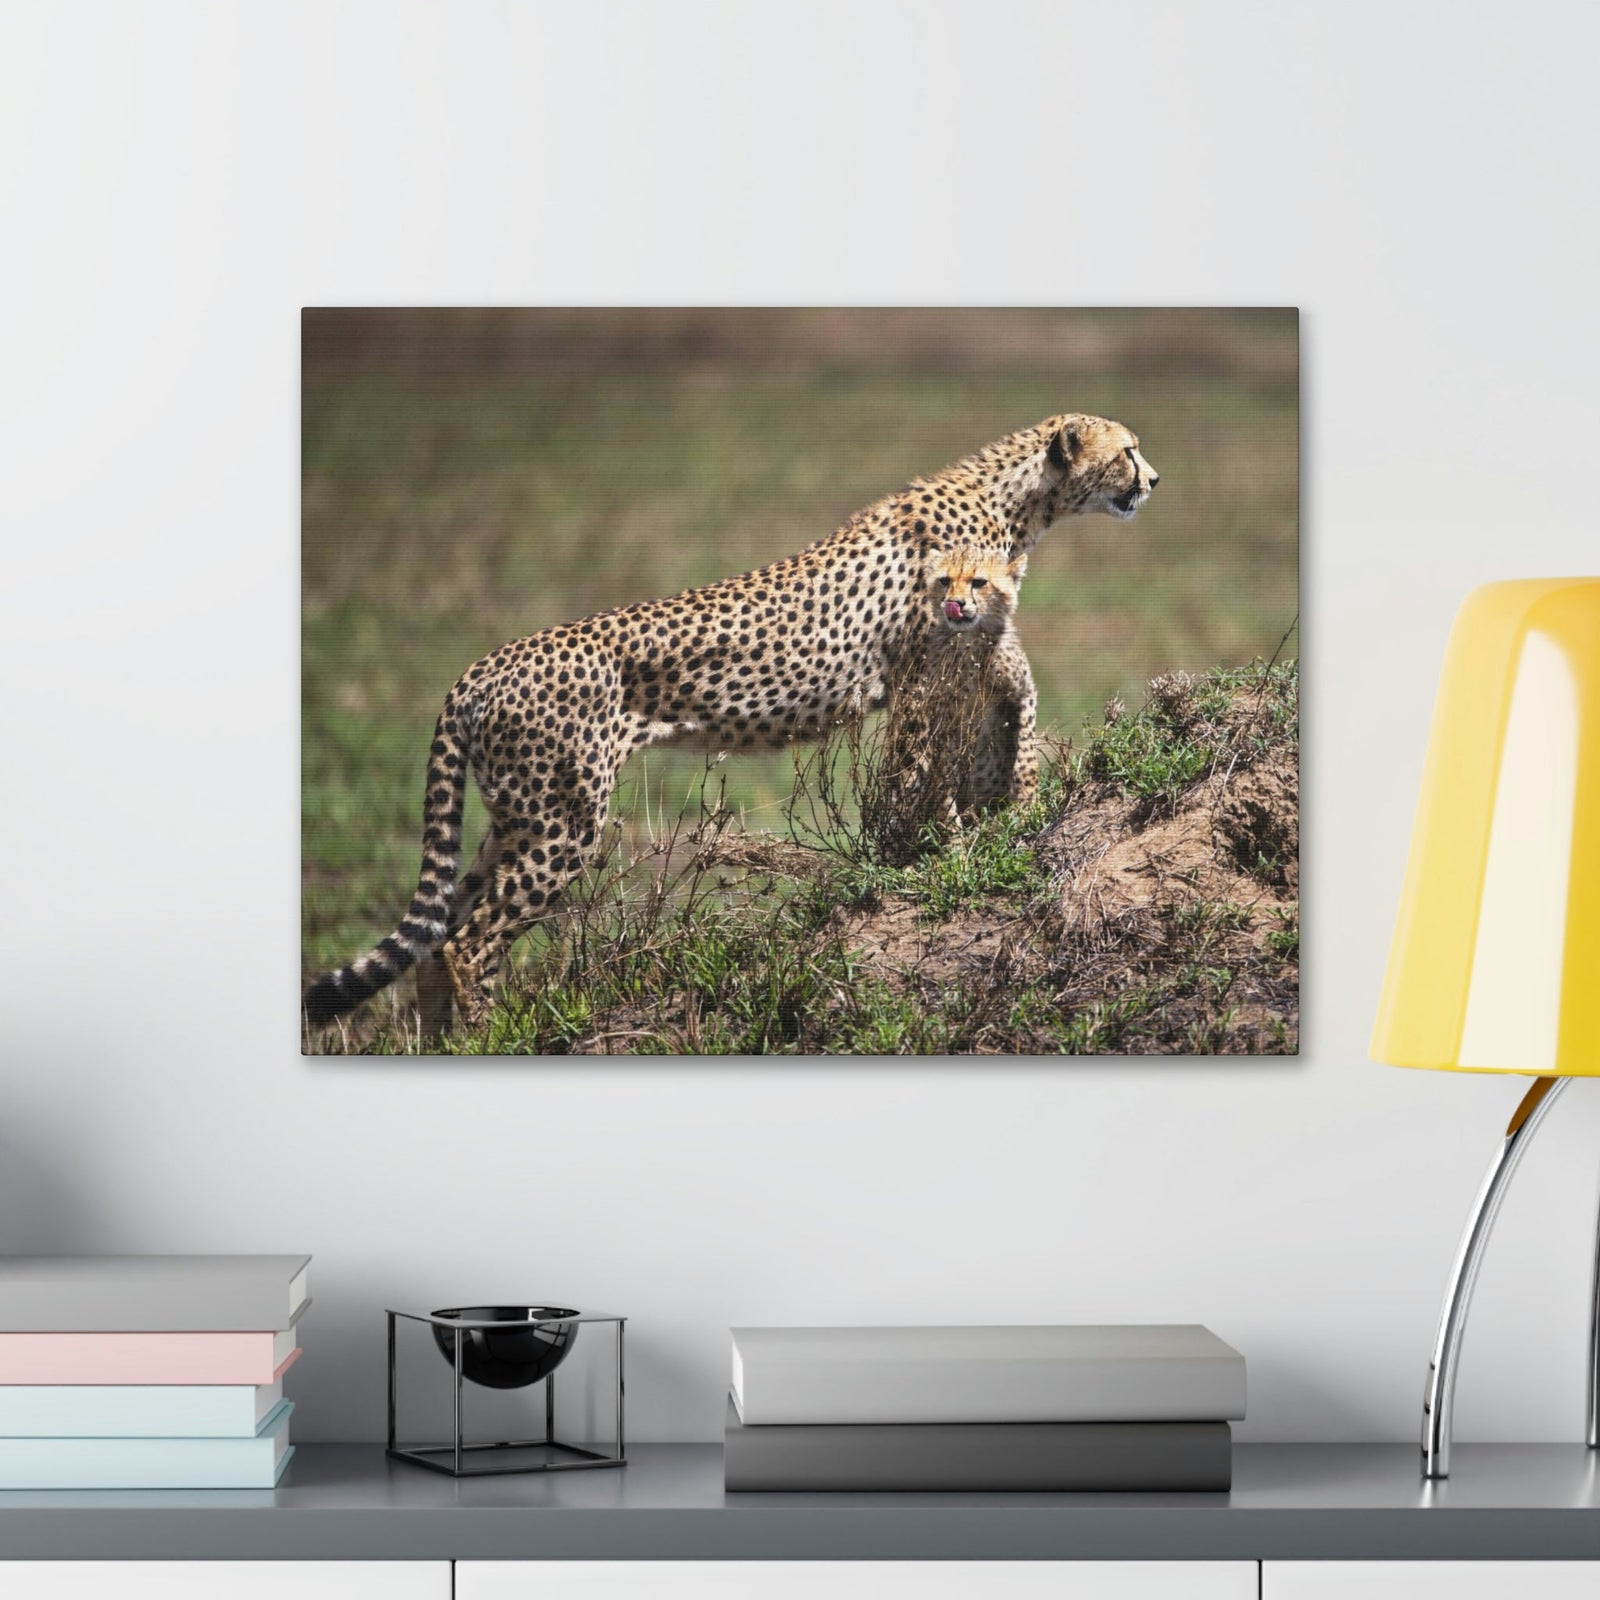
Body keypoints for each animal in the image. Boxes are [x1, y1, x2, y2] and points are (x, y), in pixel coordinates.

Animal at [302, 412, 1158, 1037]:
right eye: (1128, 449)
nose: (1153, 479)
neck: (1017, 500)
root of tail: (476, 670)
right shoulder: (923, 678)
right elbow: (923, 774)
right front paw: (934, 859)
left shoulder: (976, 652)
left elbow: (1006, 716)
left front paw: (1000, 817)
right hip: (563, 822)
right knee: (470, 940)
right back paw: (486, 1037)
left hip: (517, 817)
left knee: (441, 930)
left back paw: (442, 1042)